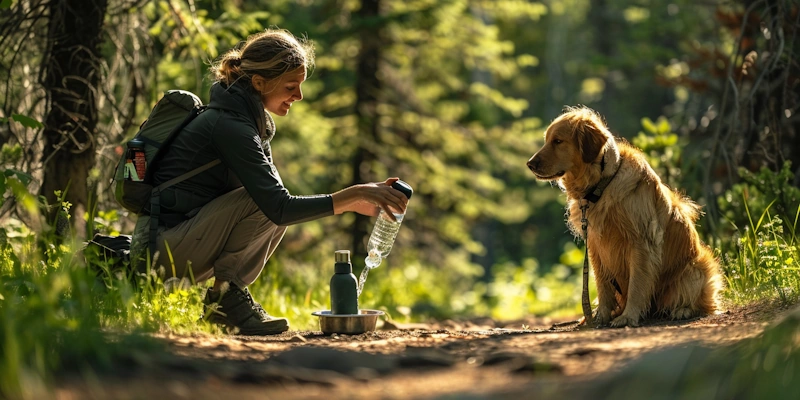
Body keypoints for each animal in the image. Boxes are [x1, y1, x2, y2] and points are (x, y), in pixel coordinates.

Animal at [528, 106, 720, 328]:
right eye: (546, 140)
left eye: (558, 141)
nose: (529, 164)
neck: (602, 185)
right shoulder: (596, 246)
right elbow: (603, 286)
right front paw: (600, 316)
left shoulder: (642, 243)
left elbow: (637, 284)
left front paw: (628, 316)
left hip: (695, 269)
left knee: (703, 303)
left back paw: (682, 310)